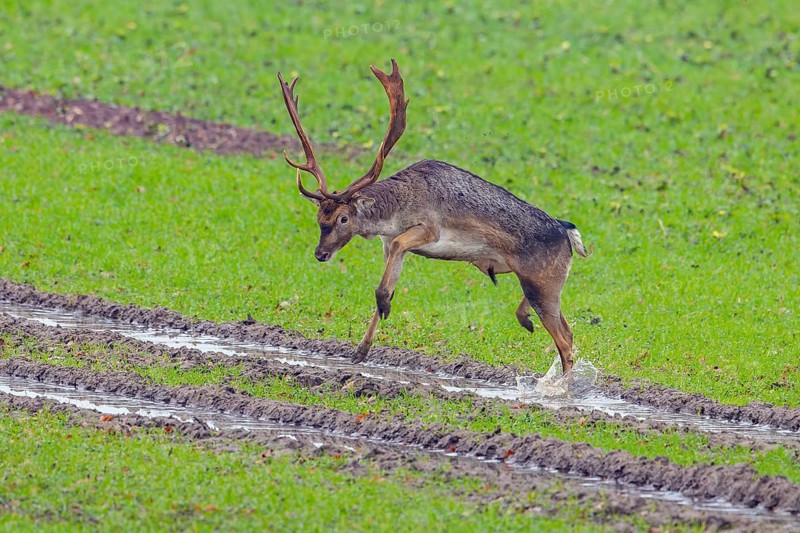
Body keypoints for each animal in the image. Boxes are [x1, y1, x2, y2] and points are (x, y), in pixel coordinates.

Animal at [277, 59, 589, 375]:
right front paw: (360, 351)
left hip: (545, 284)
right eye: (319, 217)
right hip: (537, 283)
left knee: (566, 339)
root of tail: (568, 234)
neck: (395, 214)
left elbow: (387, 277)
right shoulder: (390, 245)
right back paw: (526, 320)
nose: (320, 253)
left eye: (343, 218)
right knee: (560, 327)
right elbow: (388, 285)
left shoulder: (429, 230)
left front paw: (382, 312)